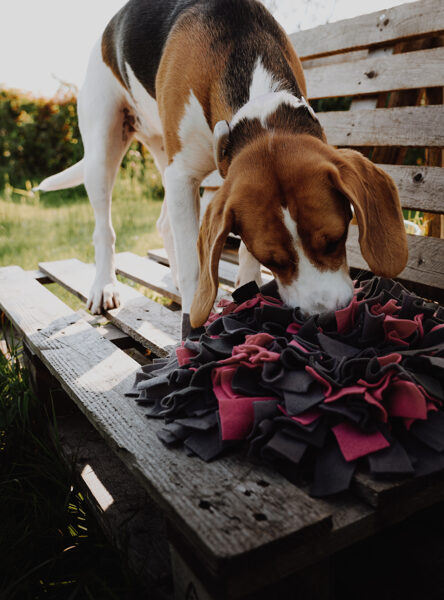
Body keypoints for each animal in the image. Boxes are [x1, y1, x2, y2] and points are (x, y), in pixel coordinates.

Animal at [36, 0, 408, 338]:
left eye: (336, 240)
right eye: (275, 260)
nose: (327, 317)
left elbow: (235, 249)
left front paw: (249, 284)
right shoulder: (182, 176)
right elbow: (193, 263)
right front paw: (192, 323)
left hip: (163, 157)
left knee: (165, 224)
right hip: (104, 148)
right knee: (105, 229)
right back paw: (105, 285)